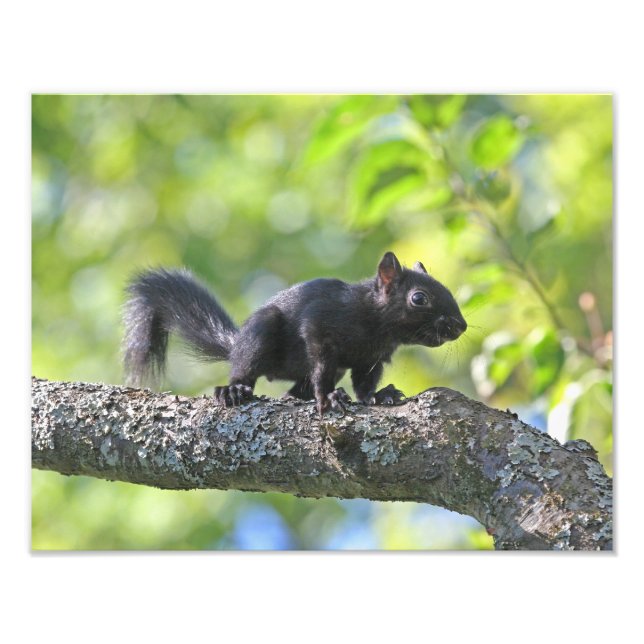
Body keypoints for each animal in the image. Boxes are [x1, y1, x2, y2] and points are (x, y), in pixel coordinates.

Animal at [123, 252, 467, 415]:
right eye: (419, 298)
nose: (460, 325)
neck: (375, 323)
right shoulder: (320, 324)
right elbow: (322, 366)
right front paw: (328, 396)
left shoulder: (372, 359)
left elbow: (364, 384)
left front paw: (380, 396)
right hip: (260, 333)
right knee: (245, 367)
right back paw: (234, 390)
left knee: (293, 390)